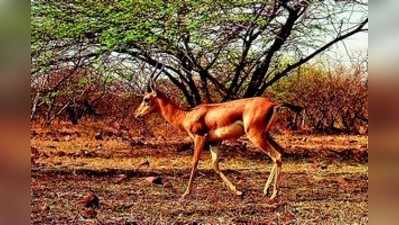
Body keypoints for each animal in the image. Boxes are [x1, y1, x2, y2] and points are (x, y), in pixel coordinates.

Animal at [136, 67, 286, 200]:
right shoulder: (214, 142)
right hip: (266, 135)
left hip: (255, 136)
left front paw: (186, 193)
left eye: (146, 99)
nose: (136, 114)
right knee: (281, 152)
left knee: (276, 156)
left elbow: (195, 162)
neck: (186, 116)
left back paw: (274, 194)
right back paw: (266, 190)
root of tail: (273, 104)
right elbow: (215, 165)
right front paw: (237, 191)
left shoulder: (200, 138)